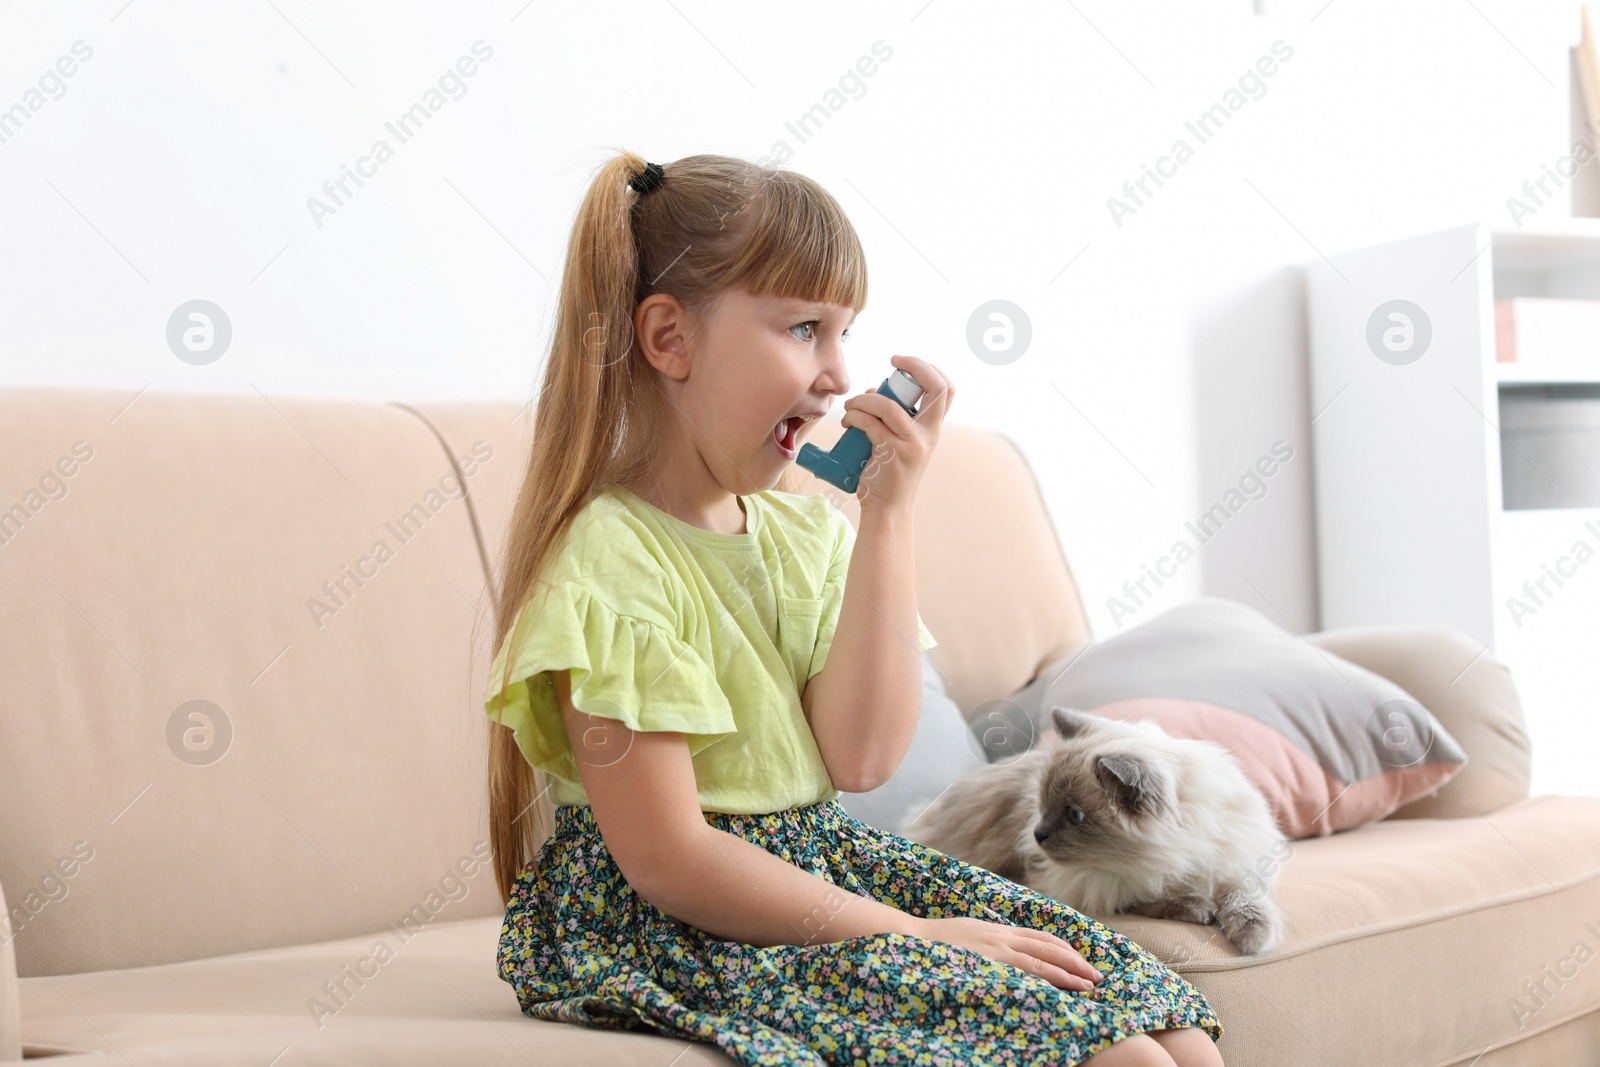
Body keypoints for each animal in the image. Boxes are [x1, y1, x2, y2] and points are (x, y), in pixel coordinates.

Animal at [902, 703, 1286, 953]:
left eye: (1075, 816)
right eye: (1043, 803)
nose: (1037, 835)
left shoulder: (1232, 860)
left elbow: (1242, 894)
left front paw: (1254, 933)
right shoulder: (1098, 885)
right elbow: (1148, 896)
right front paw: (1197, 908)